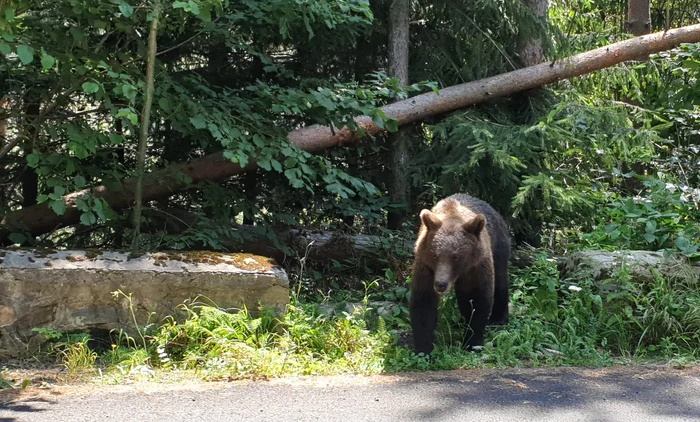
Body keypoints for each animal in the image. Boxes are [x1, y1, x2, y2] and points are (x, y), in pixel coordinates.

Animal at [409, 193, 510, 355]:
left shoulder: (476, 267)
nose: (440, 284)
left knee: (500, 280)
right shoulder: (426, 267)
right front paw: (424, 349)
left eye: (455, 256)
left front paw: (472, 343)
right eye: (435, 255)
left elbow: (477, 300)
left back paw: (498, 318)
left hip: (499, 247)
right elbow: (423, 302)